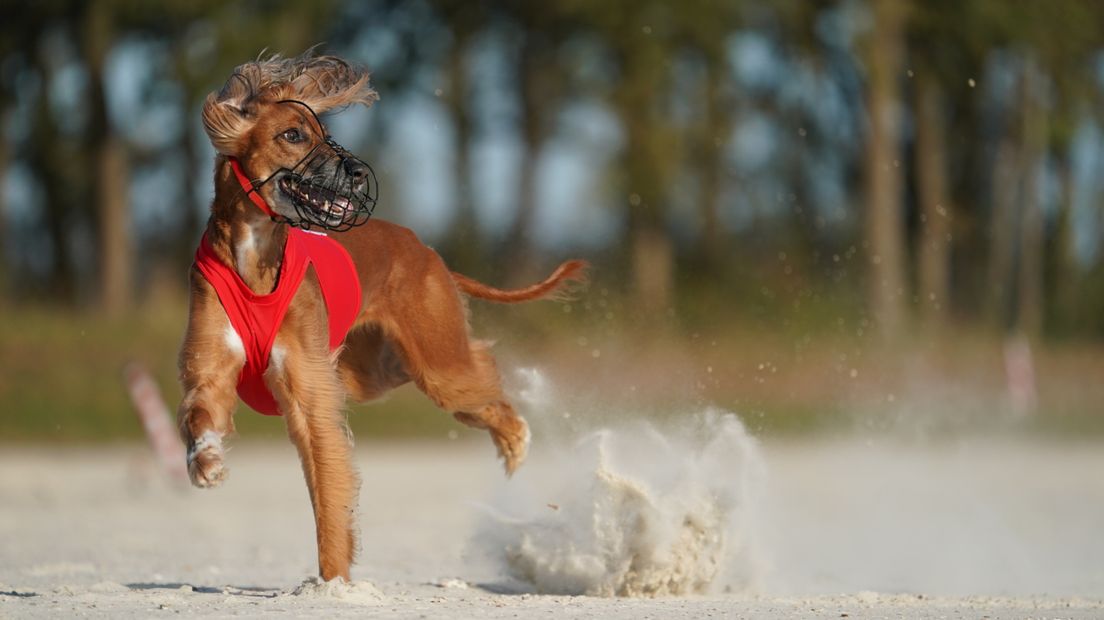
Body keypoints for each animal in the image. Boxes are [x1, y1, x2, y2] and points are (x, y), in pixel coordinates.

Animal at [176, 52, 587, 578]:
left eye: (324, 132)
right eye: (293, 134)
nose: (355, 171)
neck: (256, 254)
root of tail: (427, 251)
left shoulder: (309, 388)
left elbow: (328, 483)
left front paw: (333, 579)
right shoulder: (211, 367)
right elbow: (200, 411)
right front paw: (205, 462)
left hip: (435, 360)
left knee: (484, 379)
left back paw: (516, 439)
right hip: (378, 367)